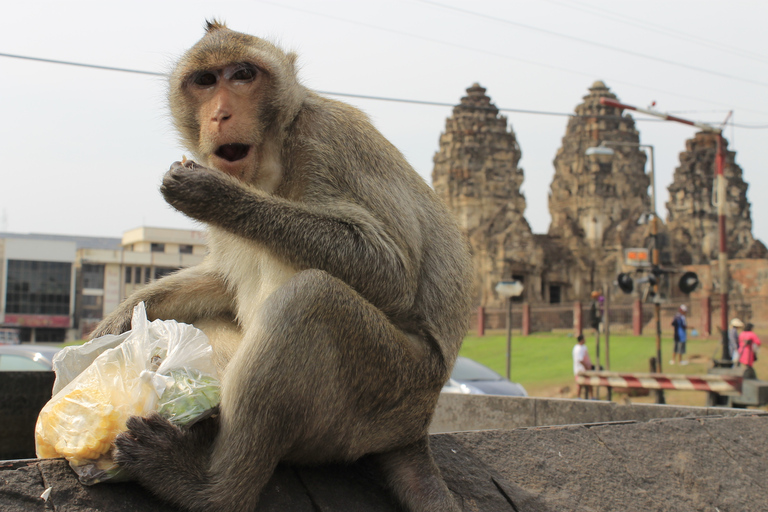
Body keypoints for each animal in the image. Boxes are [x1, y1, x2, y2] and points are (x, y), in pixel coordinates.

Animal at [90, 20, 474, 512]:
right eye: (205, 81)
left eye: (242, 75)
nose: (220, 115)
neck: (270, 161)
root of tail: (416, 429)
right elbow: (222, 281)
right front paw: (120, 320)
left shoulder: (325, 141)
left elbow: (392, 273)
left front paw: (216, 195)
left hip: (389, 389)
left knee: (310, 299)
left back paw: (209, 488)